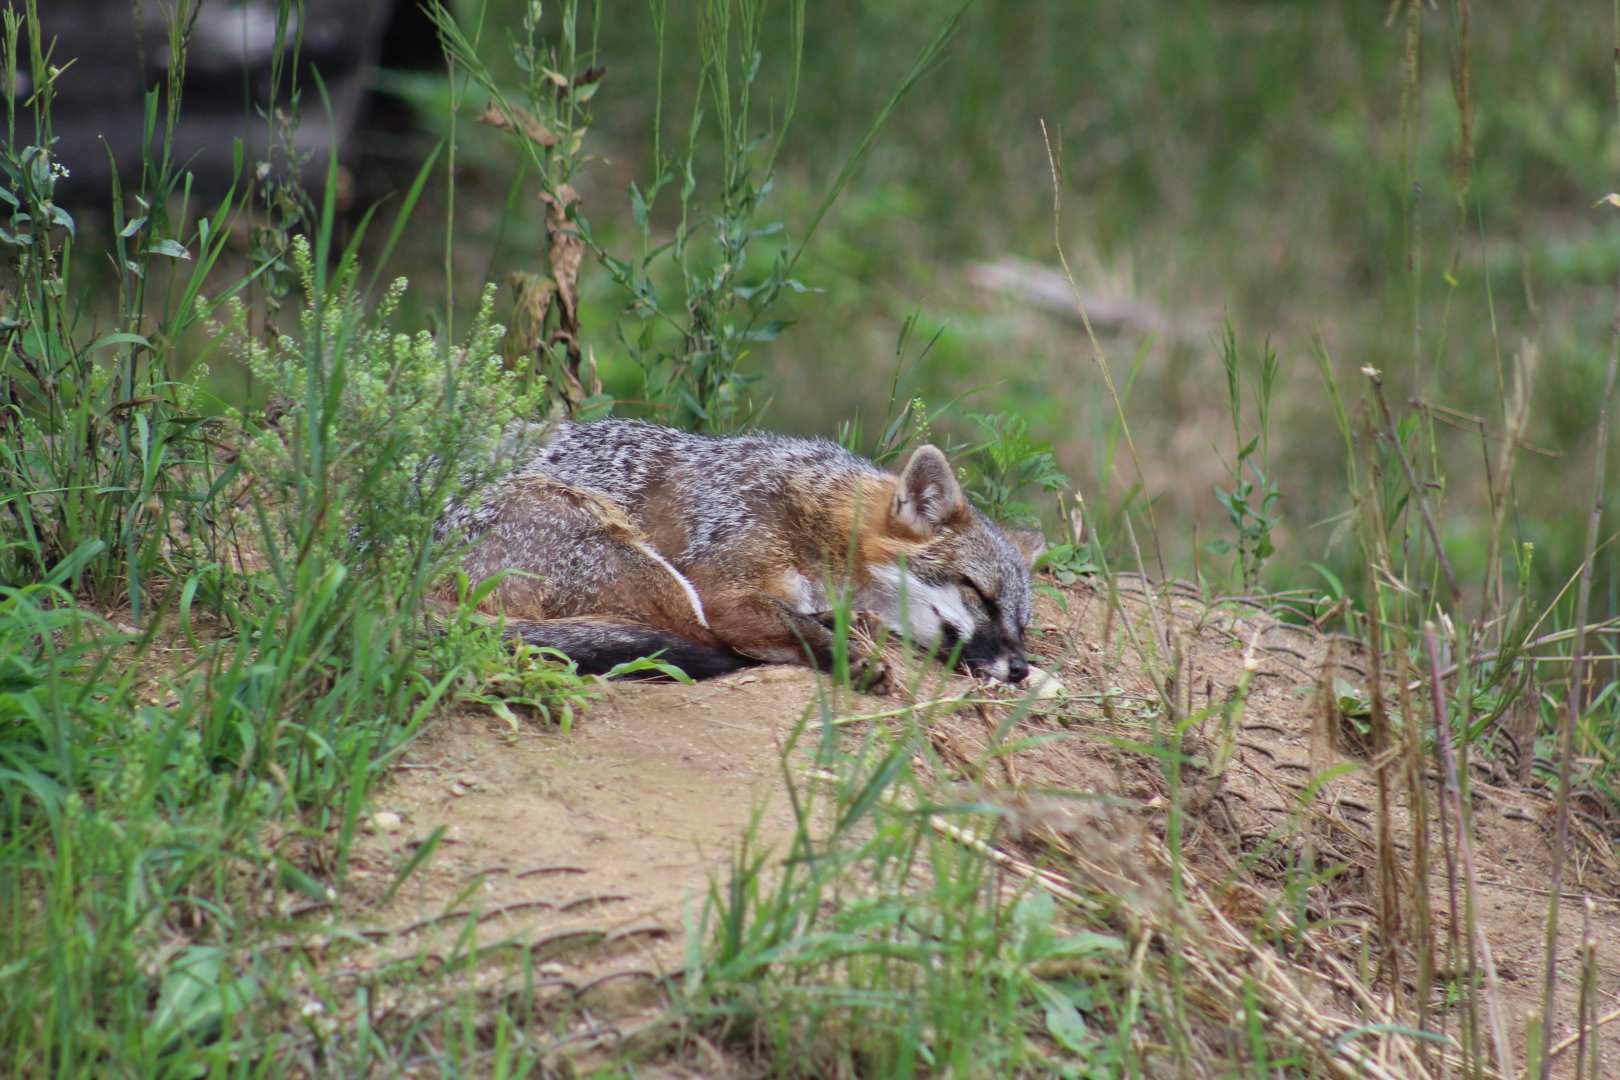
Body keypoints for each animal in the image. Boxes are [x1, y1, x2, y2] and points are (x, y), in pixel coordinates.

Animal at [437, 418, 1045, 687]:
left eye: (1020, 622)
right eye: (980, 594)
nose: (1019, 669)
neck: (817, 522)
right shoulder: (723, 590)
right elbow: (789, 621)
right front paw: (848, 652)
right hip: (639, 559)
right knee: (697, 639)